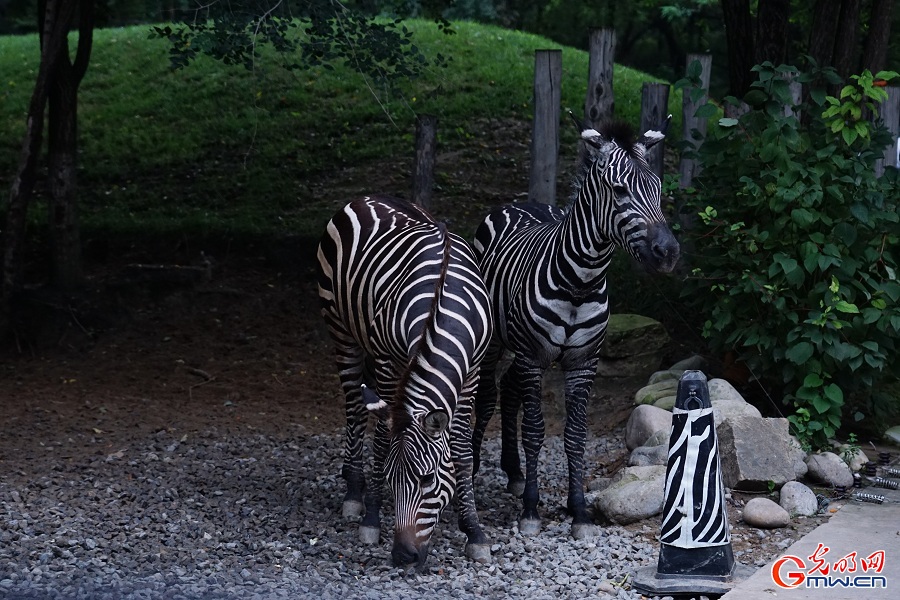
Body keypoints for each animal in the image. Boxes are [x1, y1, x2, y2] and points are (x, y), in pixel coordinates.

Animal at [316, 196, 496, 568]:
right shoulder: (388, 361)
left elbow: (461, 449)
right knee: (355, 408)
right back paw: (354, 491)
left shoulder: (473, 371)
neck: (438, 308)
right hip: (341, 330)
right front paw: (371, 518)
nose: (403, 556)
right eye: (389, 477)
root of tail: (368, 198)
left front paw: (474, 531)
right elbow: (383, 439)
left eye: (428, 480)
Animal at [472, 117, 684, 540]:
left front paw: (579, 511)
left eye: (658, 189)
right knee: (487, 396)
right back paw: (470, 469)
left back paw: (513, 472)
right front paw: (531, 510)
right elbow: (535, 431)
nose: (668, 253)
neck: (579, 283)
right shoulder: (534, 356)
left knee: (508, 390)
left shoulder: (584, 363)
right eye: (619, 190)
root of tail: (521, 202)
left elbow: (574, 436)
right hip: (499, 341)